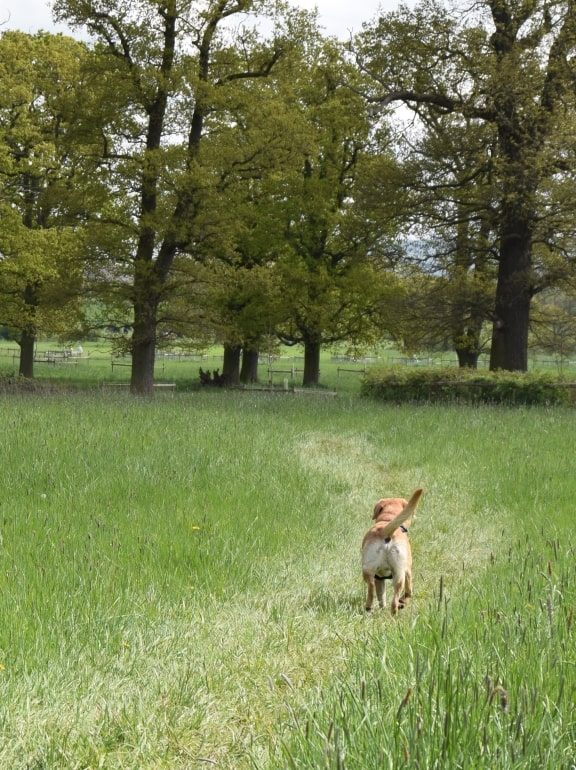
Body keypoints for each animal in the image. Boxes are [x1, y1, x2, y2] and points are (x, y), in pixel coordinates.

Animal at [360, 488, 424, 616]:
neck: (388, 519)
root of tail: (385, 531)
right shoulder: (407, 570)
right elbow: (409, 591)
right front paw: (403, 602)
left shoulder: (380, 578)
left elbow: (382, 595)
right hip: (398, 575)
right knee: (394, 598)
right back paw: (393, 613)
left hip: (370, 571)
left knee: (372, 589)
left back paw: (371, 609)